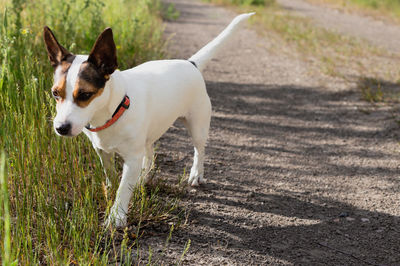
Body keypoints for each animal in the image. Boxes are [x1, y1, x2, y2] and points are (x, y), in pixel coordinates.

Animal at [43, 12, 255, 227]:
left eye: (85, 95)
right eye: (55, 93)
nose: (61, 128)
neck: (115, 109)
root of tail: (190, 63)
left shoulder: (132, 157)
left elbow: (123, 188)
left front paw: (116, 216)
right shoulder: (102, 151)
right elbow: (111, 175)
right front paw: (111, 191)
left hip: (198, 124)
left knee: (199, 149)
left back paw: (196, 173)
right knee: (150, 153)